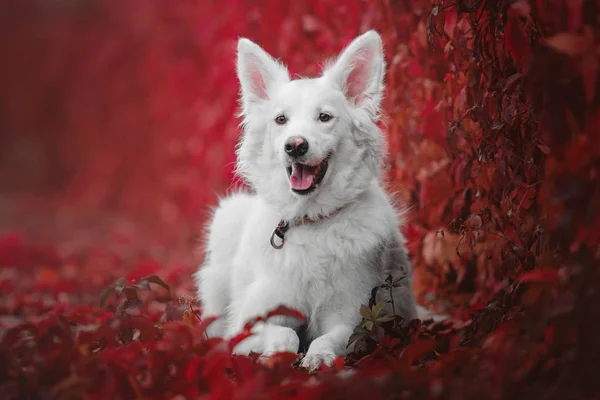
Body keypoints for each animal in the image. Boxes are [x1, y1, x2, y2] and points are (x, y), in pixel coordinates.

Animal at [195, 29, 420, 370]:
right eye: (280, 120)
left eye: (324, 117)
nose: (295, 145)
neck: (311, 221)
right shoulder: (254, 319)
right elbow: (284, 334)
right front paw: (276, 354)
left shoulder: (356, 317)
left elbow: (331, 337)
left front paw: (319, 356)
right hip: (228, 216)